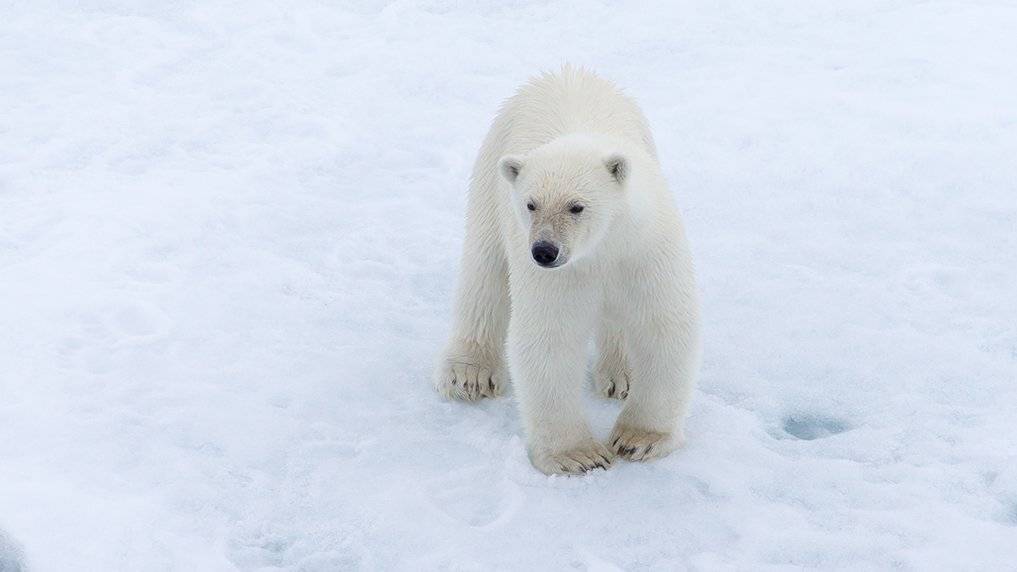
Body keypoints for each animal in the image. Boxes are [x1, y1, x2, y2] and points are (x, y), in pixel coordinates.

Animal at [435, 66, 701, 475]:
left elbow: (663, 324)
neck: (601, 248)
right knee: (485, 270)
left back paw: (621, 374)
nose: (544, 251)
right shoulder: (559, 275)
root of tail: (564, 72)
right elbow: (549, 338)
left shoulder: (644, 250)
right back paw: (470, 374)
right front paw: (580, 455)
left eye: (577, 206)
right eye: (531, 204)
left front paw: (638, 440)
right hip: (492, 176)